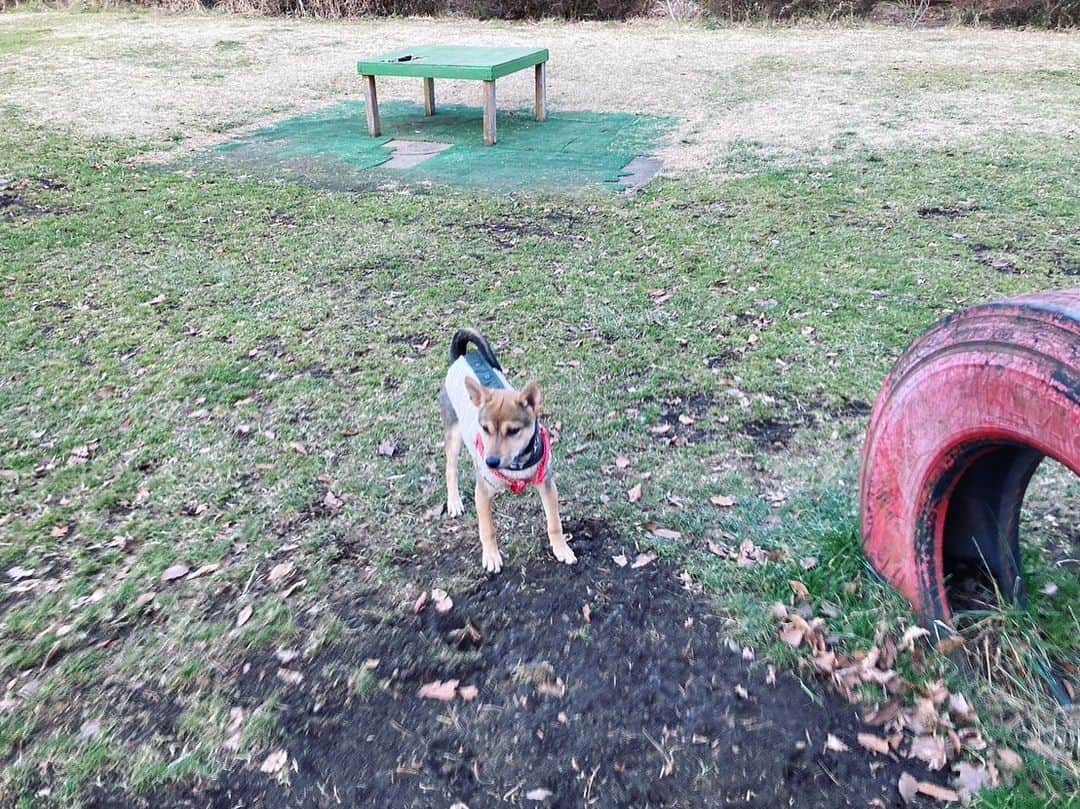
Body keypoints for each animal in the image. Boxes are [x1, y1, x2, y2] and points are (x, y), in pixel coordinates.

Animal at [438, 328, 578, 574]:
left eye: (513, 431)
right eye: (485, 429)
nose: (491, 462)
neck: (516, 465)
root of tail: (462, 357)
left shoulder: (547, 484)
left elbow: (554, 523)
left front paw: (561, 548)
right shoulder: (482, 492)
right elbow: (487, 529)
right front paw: (491, 556)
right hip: (453, 433)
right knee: (450, 469)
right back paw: (454, 501)